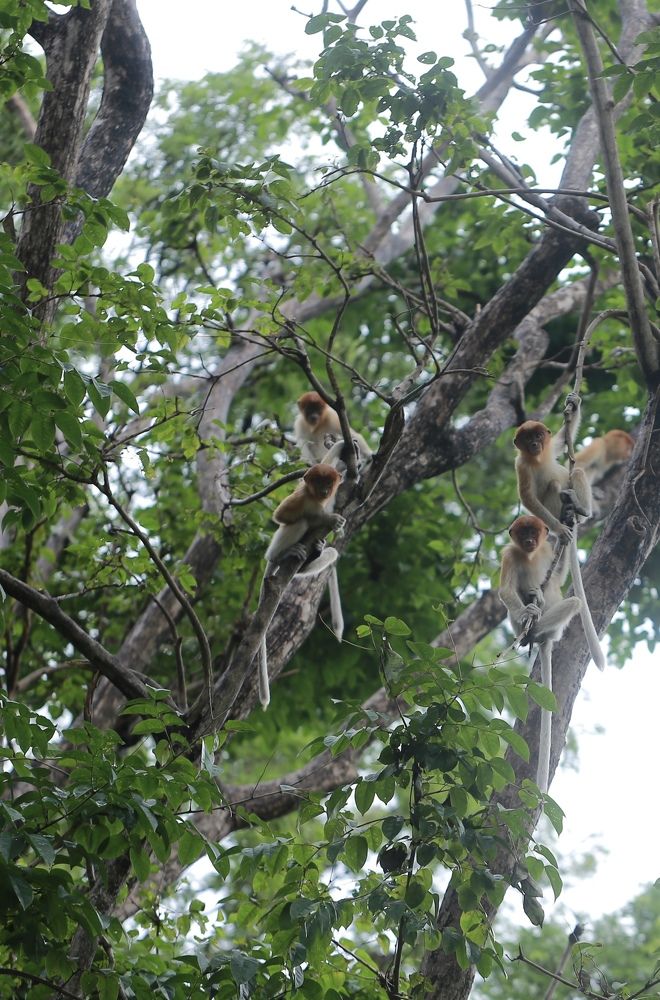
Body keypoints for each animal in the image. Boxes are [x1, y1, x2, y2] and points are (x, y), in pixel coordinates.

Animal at [258, 464, 345, 709]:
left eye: (328, 483)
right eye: (317, 482)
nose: (324, 491)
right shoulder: (301, 497)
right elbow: (282, 516)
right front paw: (325, 518)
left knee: (330, 552)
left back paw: (316, 550)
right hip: (276, 545)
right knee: (299, 524)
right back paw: (281, 556)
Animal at [499, 515, 582, 791]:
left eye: (534, 532)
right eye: (523, 532)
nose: (529, 541)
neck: (531, 555)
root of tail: (546, 641)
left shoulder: (545, 552)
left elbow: (558, 575)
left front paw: (567, 534)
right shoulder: (509, 555)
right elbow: (505, 591)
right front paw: (527, 611)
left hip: (556, 628)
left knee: (575, 601)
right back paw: (530, 623)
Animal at [513, 396, 606, 672]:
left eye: (537, 436)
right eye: (526, 439)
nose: (534, 444)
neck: (536, 460)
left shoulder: (549, 450)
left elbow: (563, 439)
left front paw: (573, 403)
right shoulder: (521, 465)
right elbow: (528, 497)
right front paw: (559, 530)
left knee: (576, 472)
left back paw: (581, 509)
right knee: (555, 484)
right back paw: (568, 518)